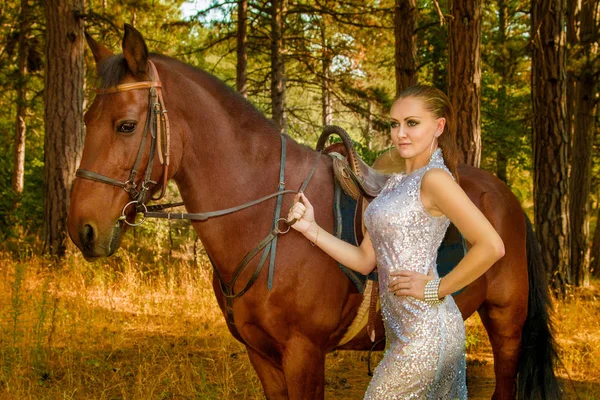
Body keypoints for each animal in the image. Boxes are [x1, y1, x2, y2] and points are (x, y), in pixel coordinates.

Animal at [68, 25, 560, 400]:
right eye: (86, 119)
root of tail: (506, 196)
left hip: (507, 324)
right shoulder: (262, 355)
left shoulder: (304, 353)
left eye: (126, 125)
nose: (82, 229)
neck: (266, 218)